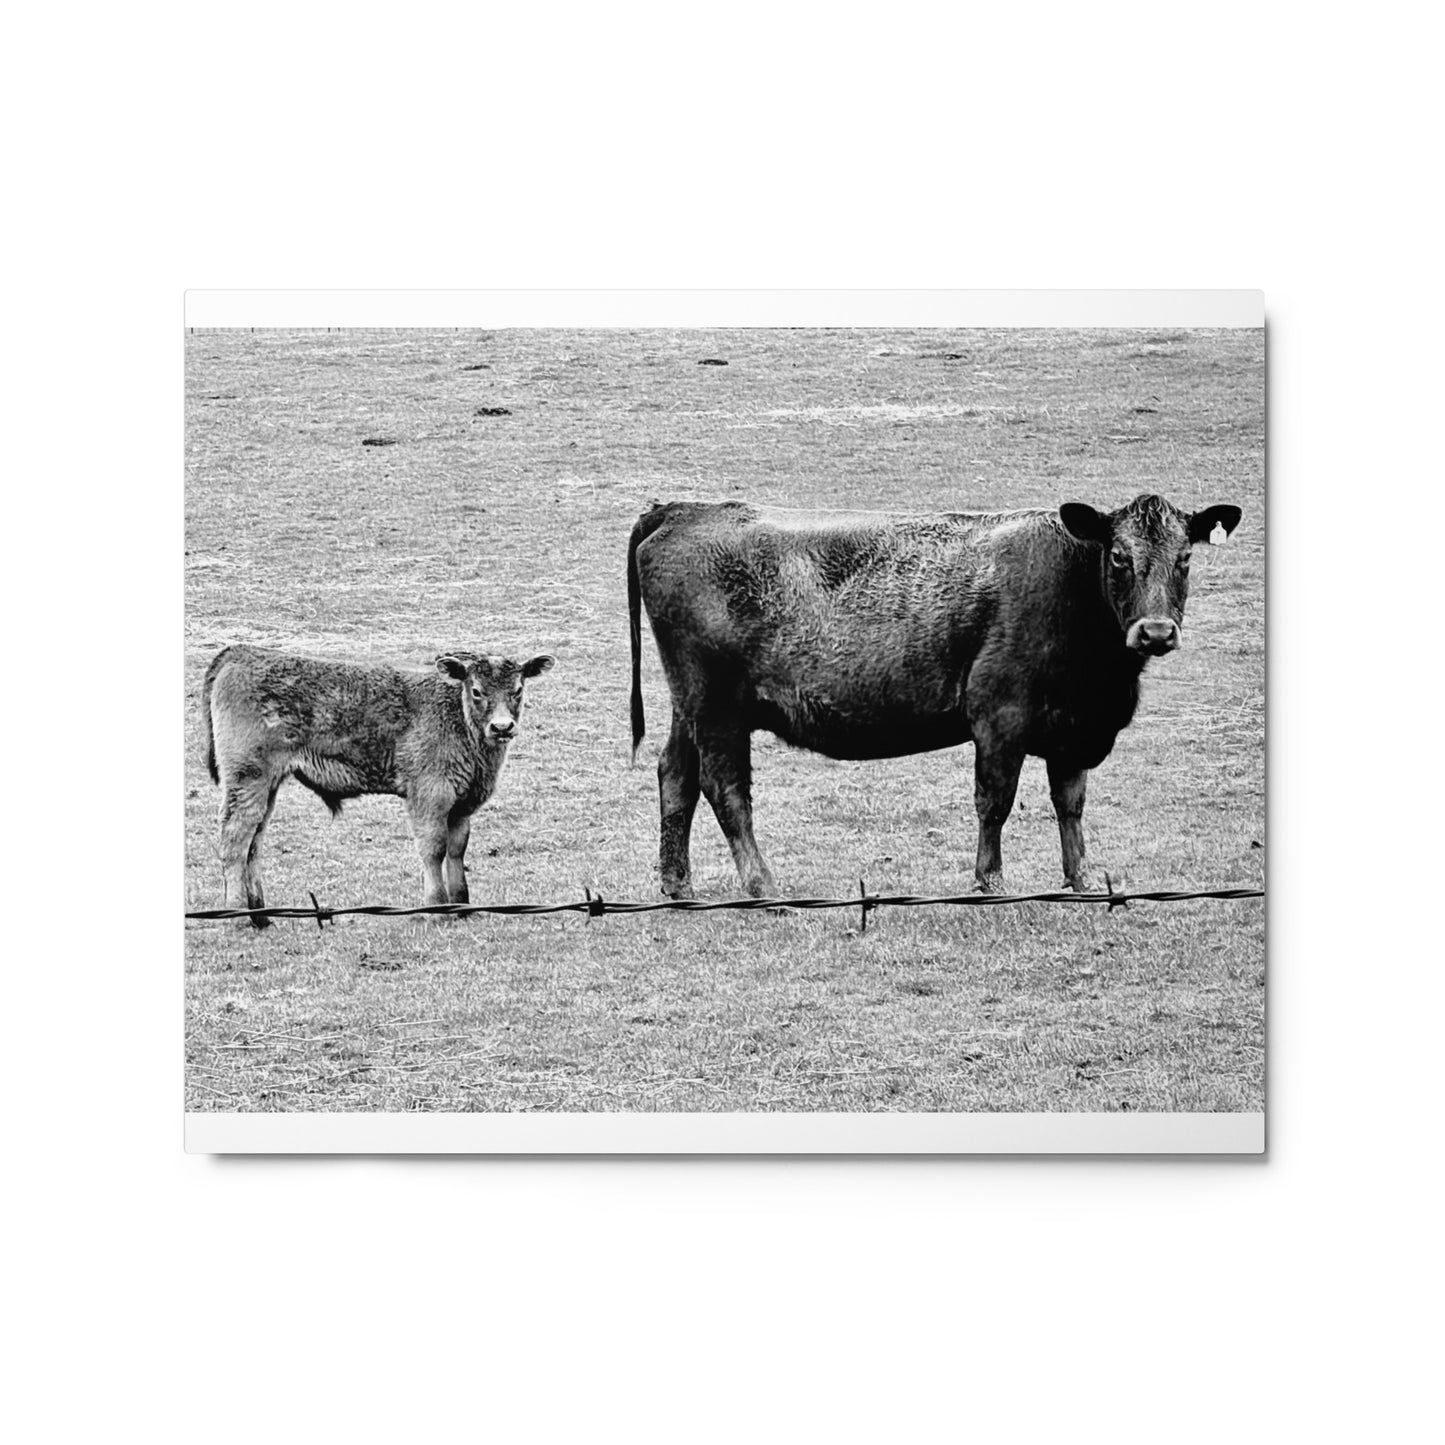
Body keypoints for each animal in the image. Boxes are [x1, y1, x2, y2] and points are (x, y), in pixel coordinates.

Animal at [202, 645, 555, 927]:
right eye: (477, 691)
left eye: (518, 689)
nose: (502, 727)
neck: (458, 718)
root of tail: (242, 653)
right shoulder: (430, 795)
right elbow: (434, 848)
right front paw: (437, 909)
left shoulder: (461, 804)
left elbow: (457, 849)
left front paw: (462, 906)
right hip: (248, 777)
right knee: (235, 838)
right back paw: (239, 916)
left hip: (266, 785)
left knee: (254, 842)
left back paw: (260, 914)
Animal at [627, 494, 1241, 899]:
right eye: (1118, 556)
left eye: (1186, 557)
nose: (1156, 632)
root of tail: (683, 509)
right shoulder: (999, 716)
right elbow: (994, 801)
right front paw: (990, 880)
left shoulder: (1072, 732)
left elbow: (1070, 803)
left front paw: (1082, 880)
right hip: (717, 707)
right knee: (725, 789)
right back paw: (763, 885)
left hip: (691, 706)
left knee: (676, 776)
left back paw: (677, 885)